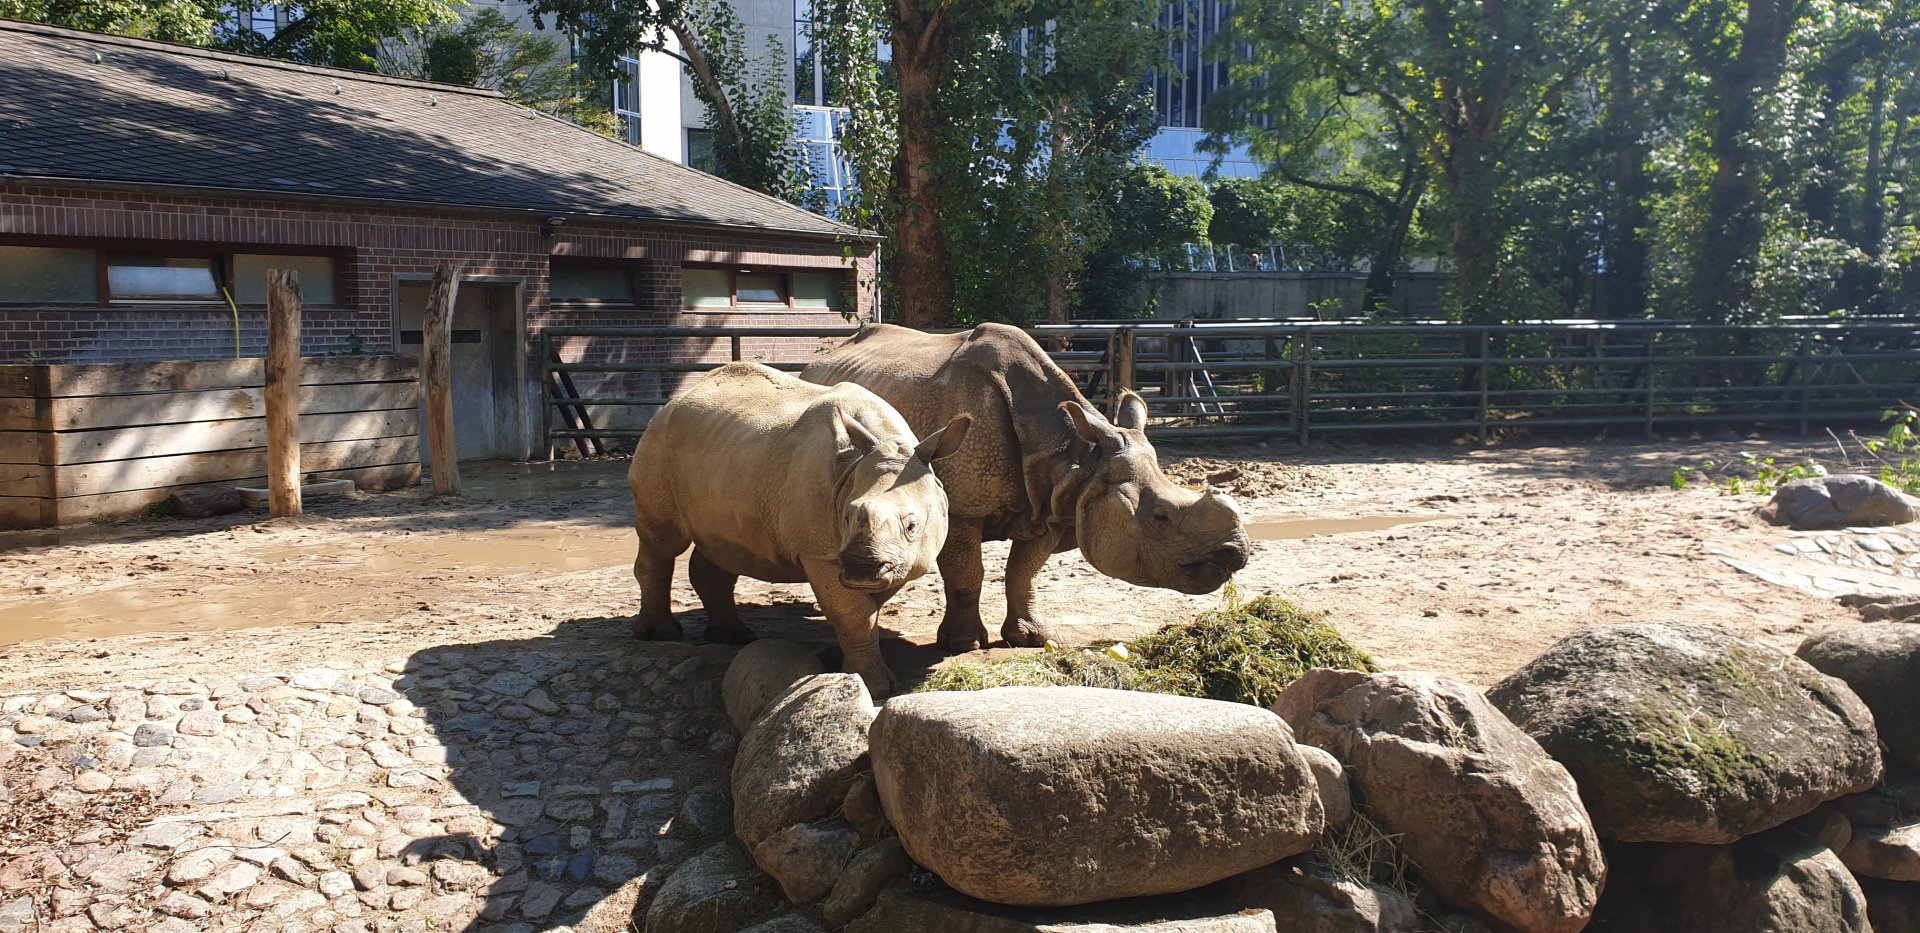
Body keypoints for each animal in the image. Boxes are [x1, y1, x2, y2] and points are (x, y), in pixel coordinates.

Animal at [627, 362, 971, 697]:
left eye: (912, 526)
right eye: (847, 517)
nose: (861, 568)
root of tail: (672, 404)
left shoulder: (901, 562)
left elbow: (865, 610)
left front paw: (840, 658)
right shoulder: (819, 552)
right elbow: (856, 613)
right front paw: (874, 687)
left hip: (723, 455)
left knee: (721, 546)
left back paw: (731, 636)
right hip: (659, 443)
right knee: (662, 541)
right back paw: (659, 634)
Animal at [802, 323, 1248, 651]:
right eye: (1161, 517)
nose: (1235, 555)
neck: (1076, 458)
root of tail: (820, 360)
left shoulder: (1051, 504)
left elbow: (1024, 571)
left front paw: (1031, 638)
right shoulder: (963, 507)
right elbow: (968, 573)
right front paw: (963, 645)